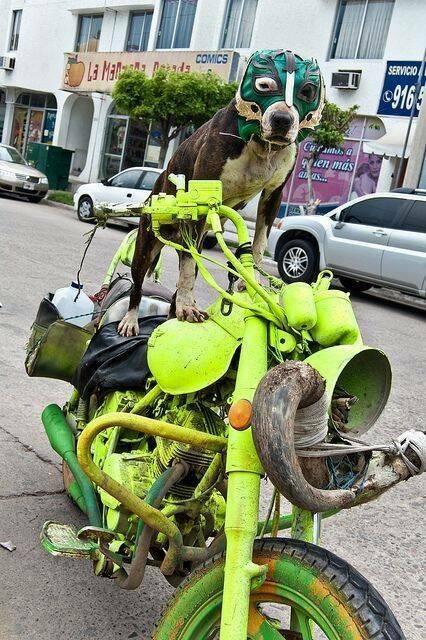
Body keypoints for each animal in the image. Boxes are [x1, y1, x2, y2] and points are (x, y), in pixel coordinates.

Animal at [118, 49, 324, 336]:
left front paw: (251, 281)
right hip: (146, 245)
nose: (282, 120)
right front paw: (187, 307)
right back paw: (132, 319)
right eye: (264, 86)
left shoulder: (273, 196)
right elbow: (184, 272)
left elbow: (259, 243)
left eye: (307, 91)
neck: (260, 144)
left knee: (186, 272)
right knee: (140, 285)